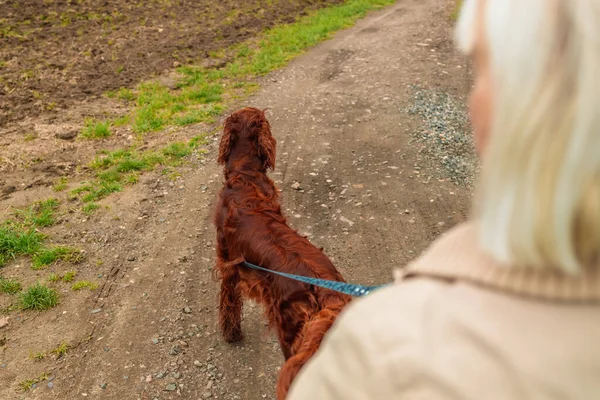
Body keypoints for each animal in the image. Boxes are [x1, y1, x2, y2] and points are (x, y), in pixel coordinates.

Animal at [214, 107, 352, 400]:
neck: (245, 176)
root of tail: (328, 294)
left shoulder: (227, 265)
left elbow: (229, 305)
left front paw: (231, 335)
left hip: (291, 338)